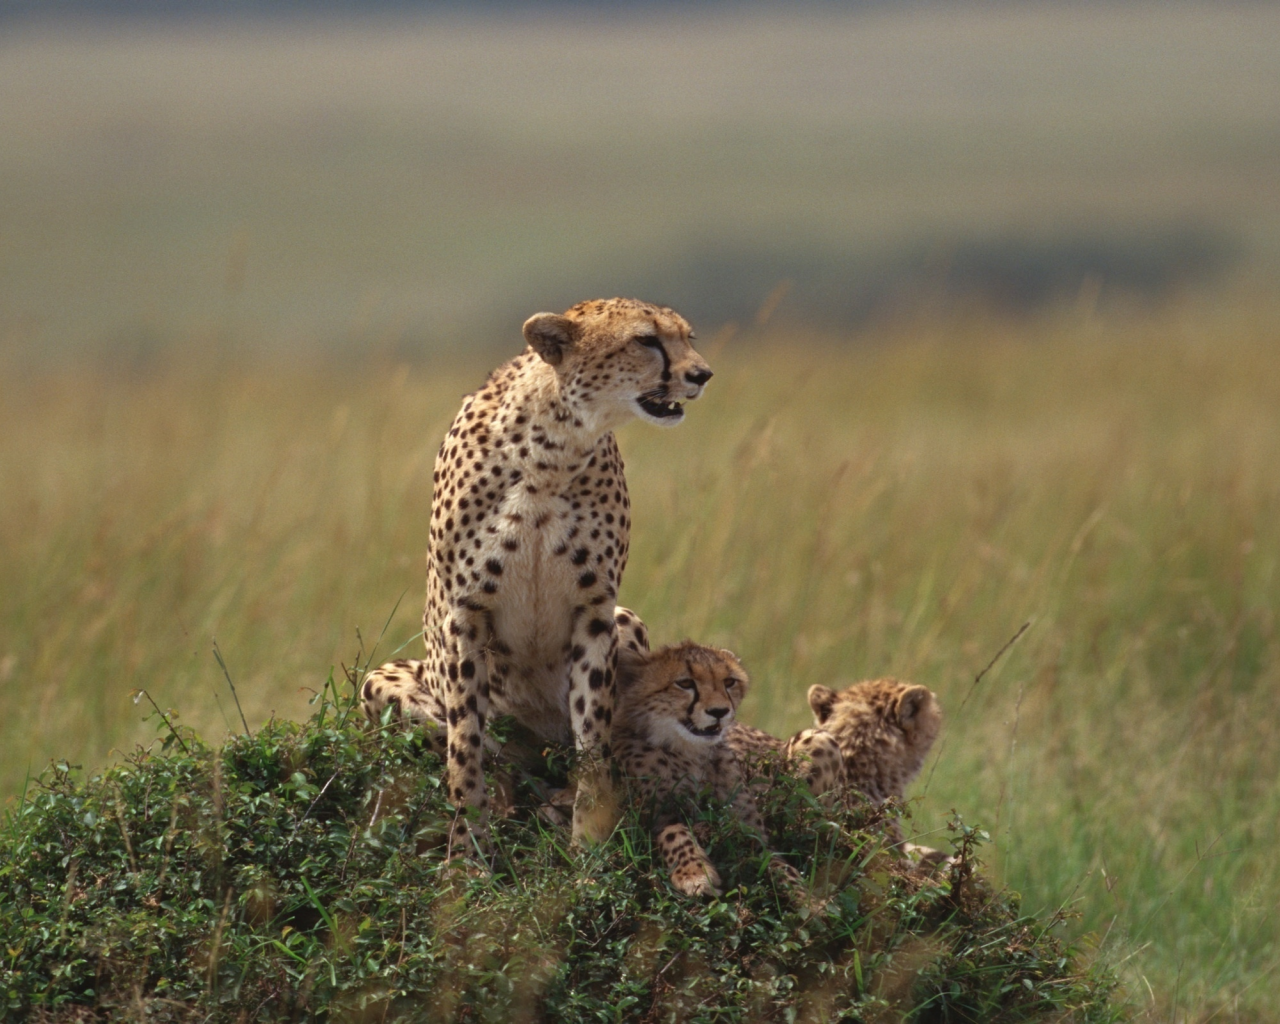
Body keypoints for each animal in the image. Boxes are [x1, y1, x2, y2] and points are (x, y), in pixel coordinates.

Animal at [360, 299, 716, 860]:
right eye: (646, 340)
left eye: (687, 337)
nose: (702, 375)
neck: (553, 451)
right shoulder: (465, 614)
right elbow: (465, 745)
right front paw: (467, 855)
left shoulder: (595, 610)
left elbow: (593, 732)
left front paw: (589, 841)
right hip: (383, 682)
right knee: (492, 755)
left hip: (627, 621)